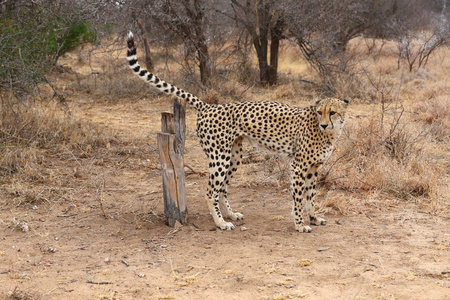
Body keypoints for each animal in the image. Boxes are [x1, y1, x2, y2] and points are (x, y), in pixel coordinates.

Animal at [126, 31, 352, 232]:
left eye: (332, 112)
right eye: (319, 112)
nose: (324, 124)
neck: (328, 133)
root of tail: (208, 106)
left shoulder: (314, 167)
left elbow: (310, 196)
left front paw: (313, 217)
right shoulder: (298, 166)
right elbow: (298, 198)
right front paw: (299, 224)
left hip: (233, 156)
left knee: (222, 189)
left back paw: (230, 214)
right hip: (219, 157)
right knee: (210, 191)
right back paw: (220, 223)